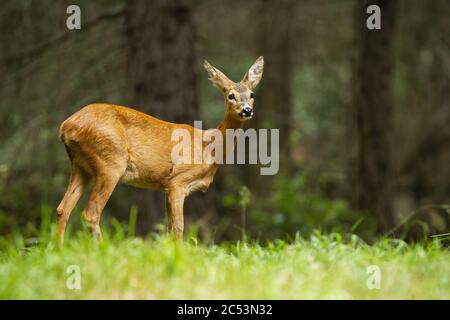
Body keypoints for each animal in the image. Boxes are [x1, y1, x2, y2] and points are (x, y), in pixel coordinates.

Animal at [56, 55, 264, 245]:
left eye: (252, 94)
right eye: (231, 96)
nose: (246, 110)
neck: (208, 147)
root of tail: (67, 126)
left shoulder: (166, 185)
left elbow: (168, 229)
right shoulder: (177, 181)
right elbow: (178, 228)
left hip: (80, 166)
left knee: (62, 209)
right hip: (111, 161)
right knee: (90, 213)